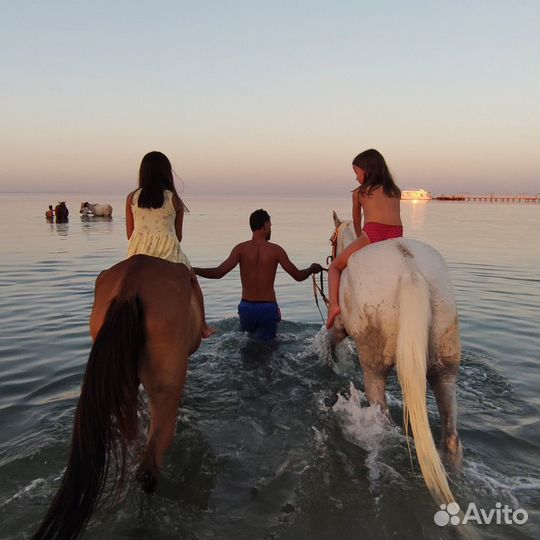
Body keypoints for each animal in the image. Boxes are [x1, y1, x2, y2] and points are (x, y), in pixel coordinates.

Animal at [326, 213, 462, 508]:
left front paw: (332, 364)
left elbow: (331, 341)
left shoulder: (340, 326)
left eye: (332, 239)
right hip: (446, 364)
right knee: (451, 436)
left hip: (374, 369)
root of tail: (410, 270)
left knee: (384, 423)